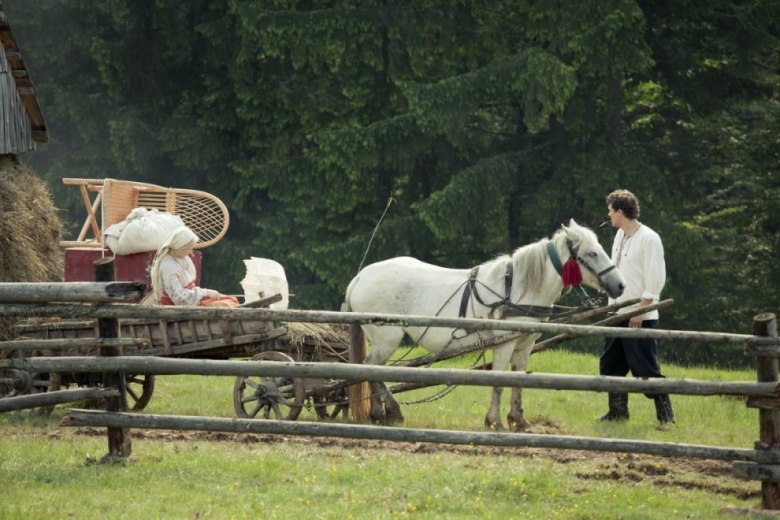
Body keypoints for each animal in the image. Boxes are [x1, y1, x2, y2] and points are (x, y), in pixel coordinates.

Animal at [344, 219, 624, 430]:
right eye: (592, 253)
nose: (619, 286)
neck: (518, 289)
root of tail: (359, 277)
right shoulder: (504, 344)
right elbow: (499, 381)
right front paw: (495, 421)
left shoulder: (524, 345)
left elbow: (519, 381)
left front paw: (519, 420)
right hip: (387, 338)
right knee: (371, 369)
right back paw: (391, 412)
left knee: (372, 371)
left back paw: (378, 414)